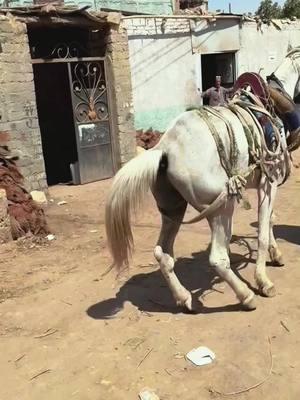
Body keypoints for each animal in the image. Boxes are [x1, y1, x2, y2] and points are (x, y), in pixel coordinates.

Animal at [105, 48, 300, 312]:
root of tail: (165, 149)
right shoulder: (269, 183)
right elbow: (262, 230)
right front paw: (263, 281)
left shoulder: (264, 184)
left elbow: (269, 221)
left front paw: (275, 255)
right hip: (221, 209)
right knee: (218, 258)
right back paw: (246, 296)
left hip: (173, 209)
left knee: (162, 254)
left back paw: (183, 297)